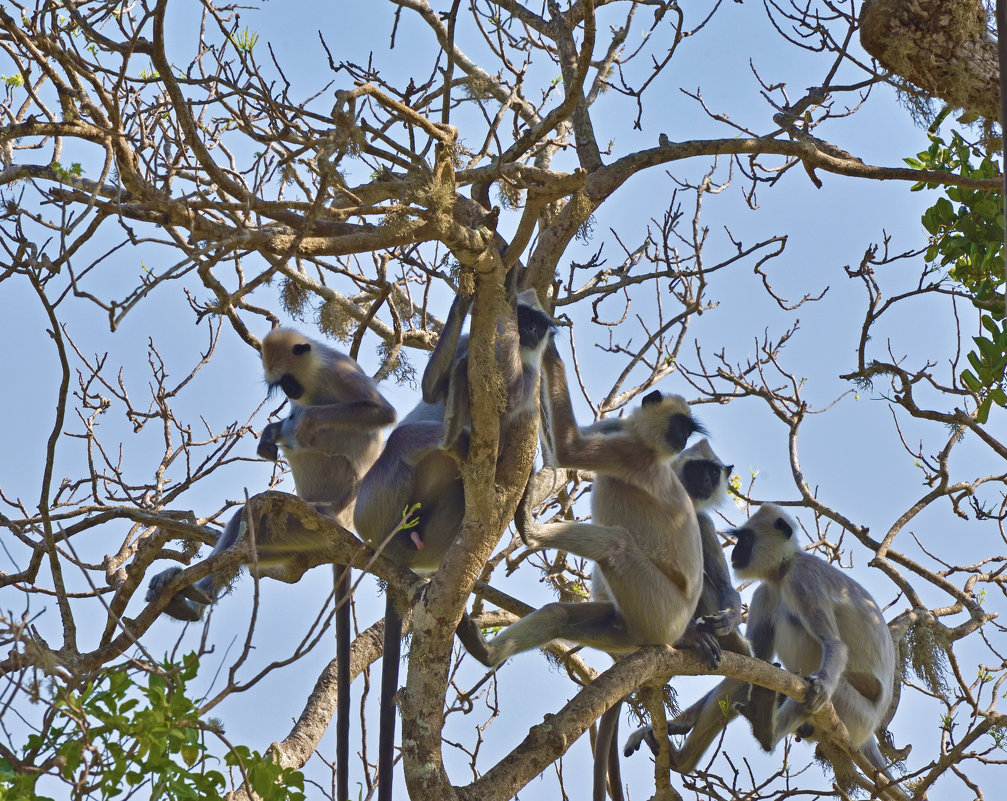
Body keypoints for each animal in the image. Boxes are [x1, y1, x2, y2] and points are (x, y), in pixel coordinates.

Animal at [147, 326, 394, 801]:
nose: (292, 395)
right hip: (290, 536)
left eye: (289, 380)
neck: (314, 377)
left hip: (325, 506)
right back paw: (193, 598)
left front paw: (295, 424)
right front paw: (270, 432)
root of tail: (340, 528)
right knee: (250, 517)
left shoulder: (340, 372)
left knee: (312, 450)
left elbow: (379, 412)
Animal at [354, 274, 555, 801]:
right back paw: (451, 436)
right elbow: (433, 385)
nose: (528, 334)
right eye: (523, 320)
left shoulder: (530, 384)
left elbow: (517, 438)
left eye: (537, 324)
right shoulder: (478, 348)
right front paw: (468, 297)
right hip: (374, 502)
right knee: (410, 440)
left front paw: (524, 515)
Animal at [461, 340, 721, 673]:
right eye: (680, 426)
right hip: (629, 624)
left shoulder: (631, 454)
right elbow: (558, 451)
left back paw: (531, 533)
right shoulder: (616, 429)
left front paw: (549, 349)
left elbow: (568, 448)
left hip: (661, 612)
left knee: (617, 545)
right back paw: (487, 652)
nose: (681, 440)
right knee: (558, 614)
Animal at [596, 439, 749, 801]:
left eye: (712, 472)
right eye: (696, 469)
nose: (704, 482)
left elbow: (723, 585)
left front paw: (729, 617)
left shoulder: (700, 519)